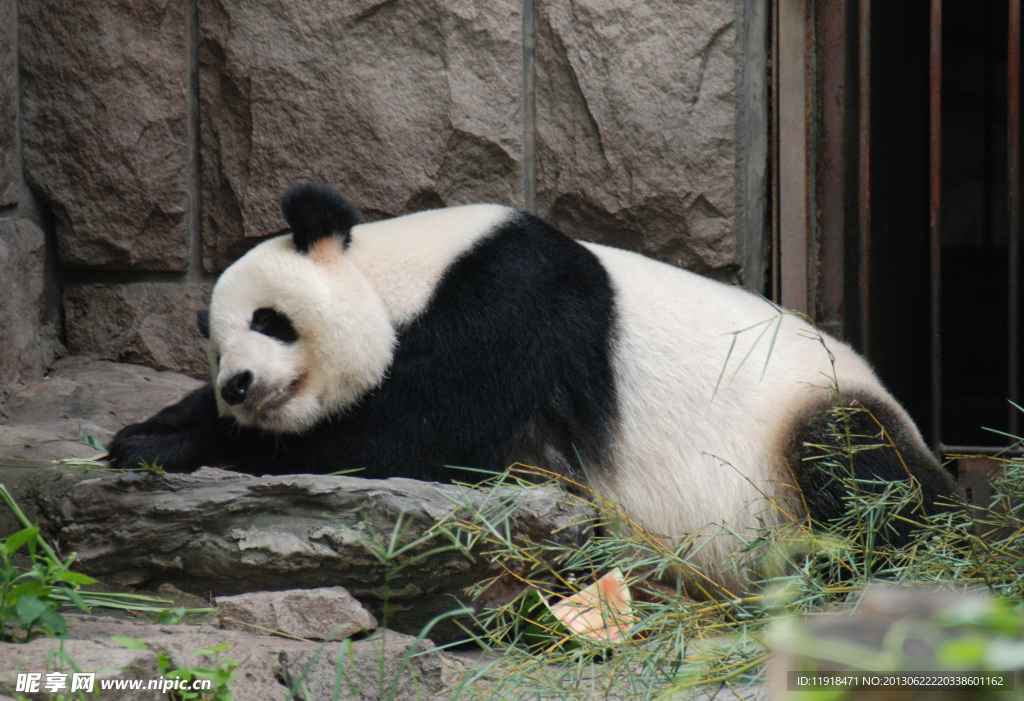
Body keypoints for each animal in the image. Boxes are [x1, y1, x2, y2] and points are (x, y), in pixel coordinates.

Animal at [108, 183, 954, 589]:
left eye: (271, 319)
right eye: (217, 347)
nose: (239, 384)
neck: (400, 272)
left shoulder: (512, 309)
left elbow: (400, 435)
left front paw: (172, 444)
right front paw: (150, 427)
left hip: (812, 422)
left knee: (855, 466)